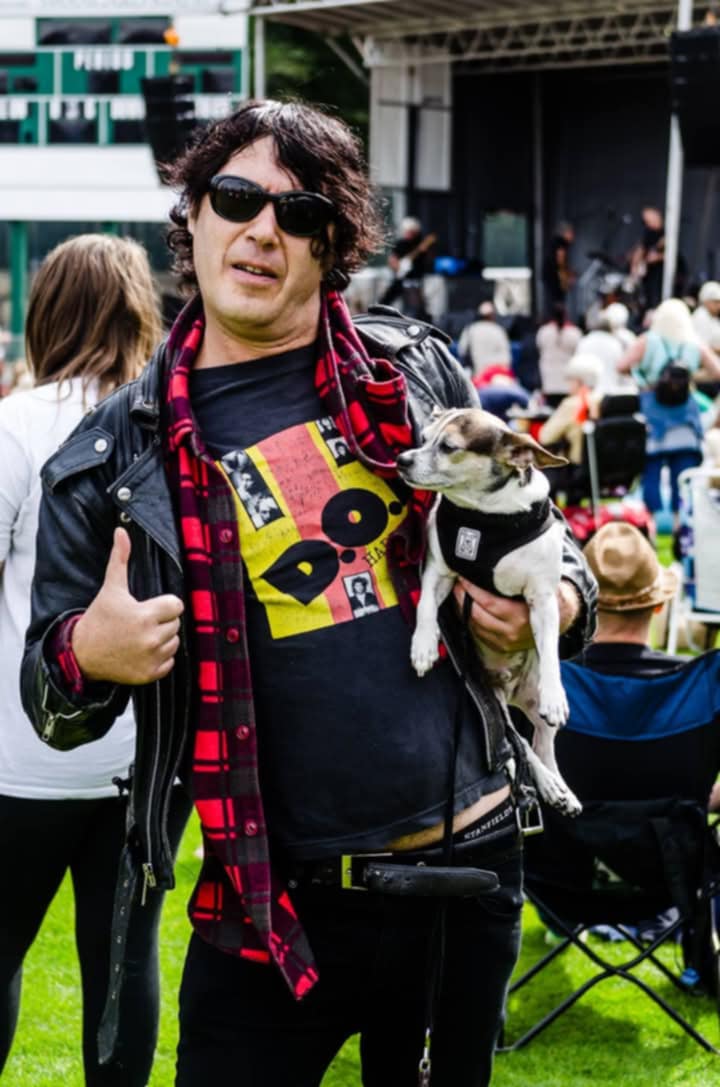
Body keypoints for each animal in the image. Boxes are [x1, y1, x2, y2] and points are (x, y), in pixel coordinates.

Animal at [398, 408, 582, 817]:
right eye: (423, 437)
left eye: (449, 447)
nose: (402, 459)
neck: (486, 517)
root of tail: (510, 689)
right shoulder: (438, 572)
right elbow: (424, 605)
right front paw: (423, 645)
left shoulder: (544, 600)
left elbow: (551, 653)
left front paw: (556, 693)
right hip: (496, 705)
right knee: (521, 745)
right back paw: (548, 784)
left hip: (532, 703)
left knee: (542, 741)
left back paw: (560, 788)